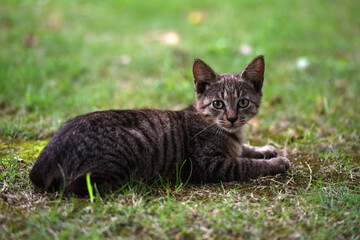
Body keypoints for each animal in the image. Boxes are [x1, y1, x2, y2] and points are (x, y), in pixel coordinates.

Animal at [29, 55, 292, 195]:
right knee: (78, 186)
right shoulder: (211, 166)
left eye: (243, 102)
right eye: (218, 104)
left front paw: (266, 149)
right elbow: (247, 164)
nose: (232, 118)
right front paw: (277, 162)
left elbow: (245, 149)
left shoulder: (234, 146)